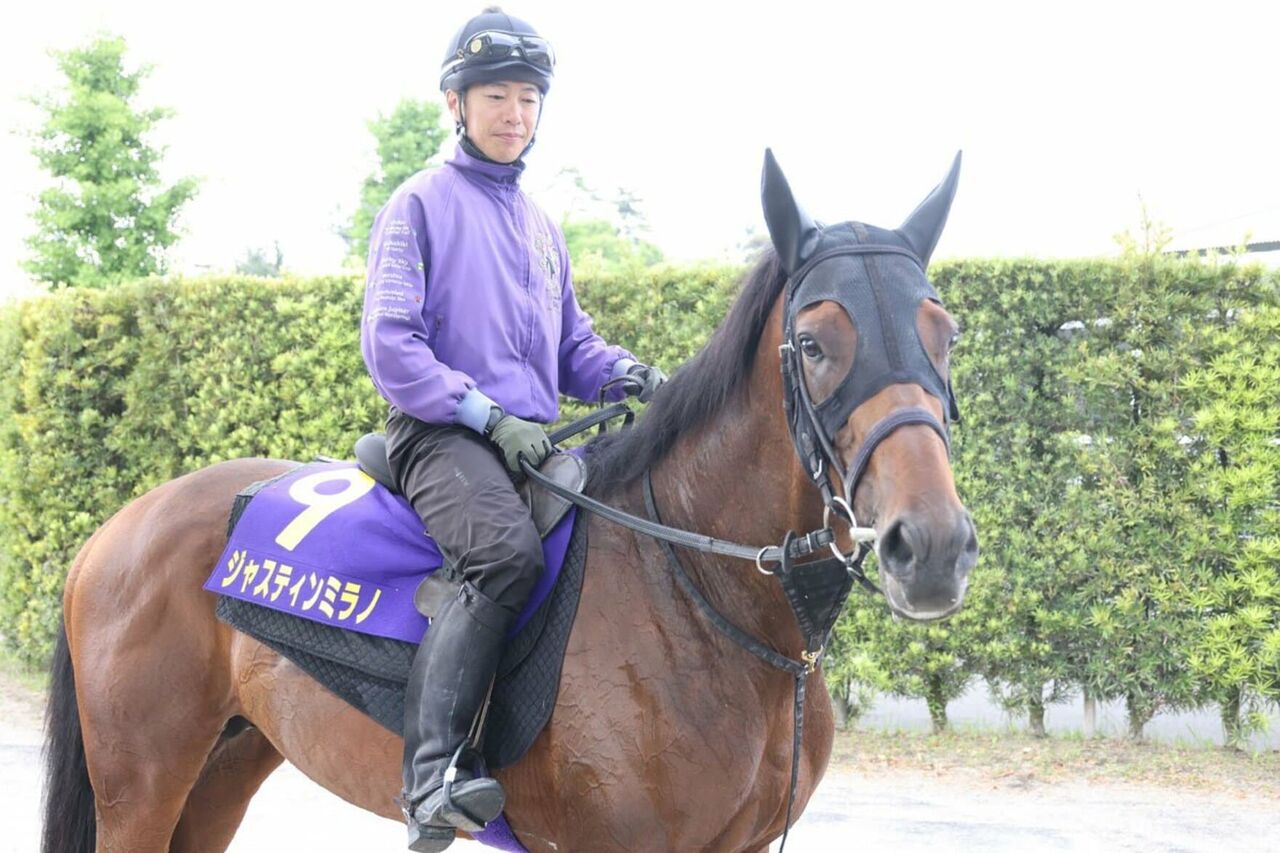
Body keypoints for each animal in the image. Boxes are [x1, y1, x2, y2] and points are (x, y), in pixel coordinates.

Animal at [42, 150, 977, 852]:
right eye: (815, 341)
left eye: (945, 332)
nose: (930, 544)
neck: (698, 589)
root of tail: (114, 531)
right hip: (141, 784)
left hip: (226, 767)